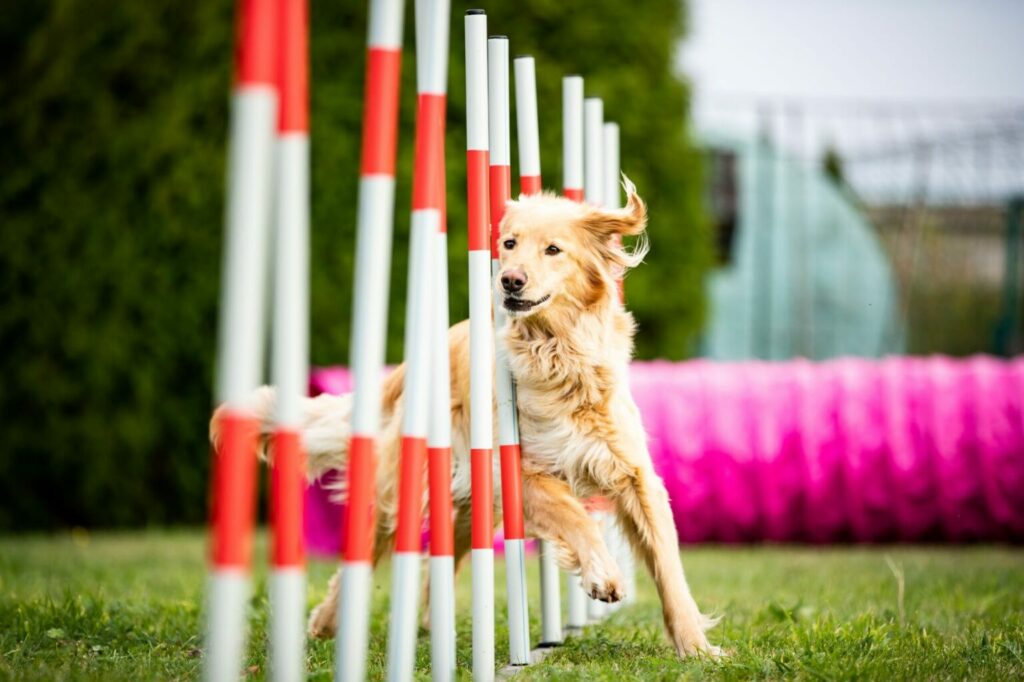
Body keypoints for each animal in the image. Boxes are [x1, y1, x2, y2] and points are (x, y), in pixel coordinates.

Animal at [210, 178, 716, 655]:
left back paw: (435, 626)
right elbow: (576, 517)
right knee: (367, 552)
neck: (558, 355)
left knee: (442, 562)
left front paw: (696, 646)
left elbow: (668, 563)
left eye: (553, 249)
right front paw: (603, 576)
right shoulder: (515, 471)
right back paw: (329, 622)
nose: (510, 280)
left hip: (470, 503)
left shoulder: (634, 475)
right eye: (509, 243)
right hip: (410, 488)